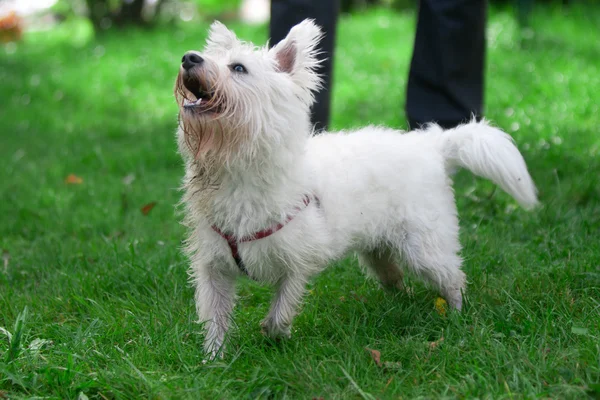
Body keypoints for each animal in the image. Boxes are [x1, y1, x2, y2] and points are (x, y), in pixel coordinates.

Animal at [175, 18, 540, 358]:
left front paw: (273, 333)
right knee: (396, 279)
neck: (237, 172)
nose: (189, 58)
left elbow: (281, 310)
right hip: (379, 251)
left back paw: (456, 318)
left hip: (425, 248)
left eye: (238, 68)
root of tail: (433, 144)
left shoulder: (299, 261)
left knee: (453, 278)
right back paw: (402, 306)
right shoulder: (213, 268)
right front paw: (214, 361)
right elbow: (215, 319)